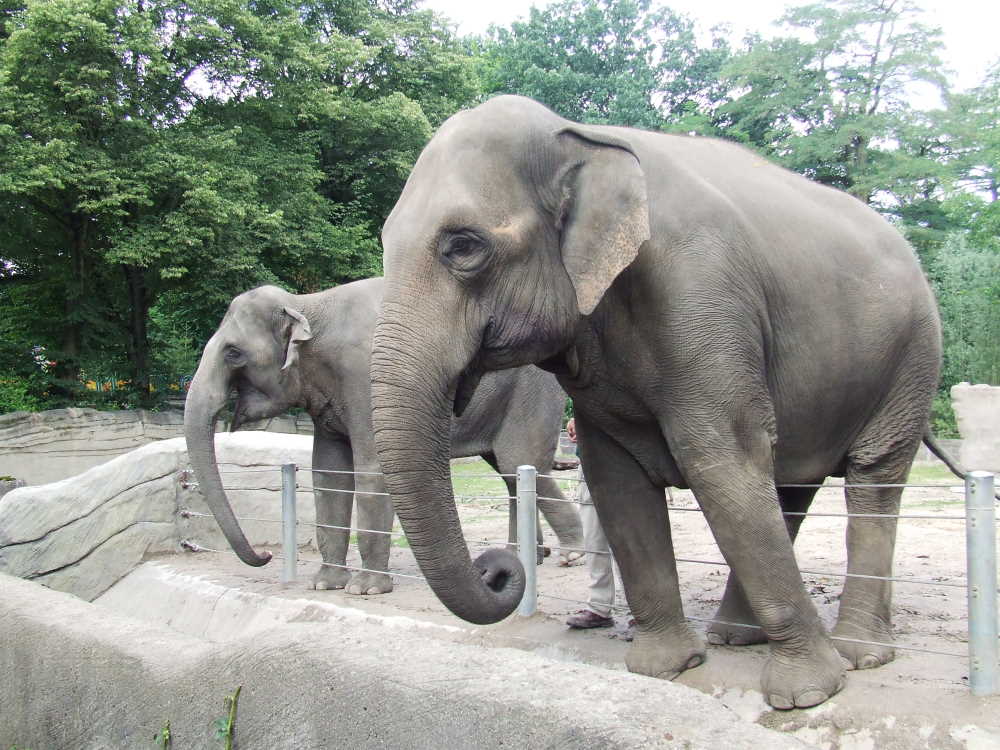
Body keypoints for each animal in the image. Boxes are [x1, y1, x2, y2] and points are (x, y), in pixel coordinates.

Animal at [186, 276, 584, 600]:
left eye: (233, 353)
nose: (266, 555)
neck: (307, 304)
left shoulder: (364, 377)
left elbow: (371, 471)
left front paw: (365, 590)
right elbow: (329, 476)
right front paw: (324, 584)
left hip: (530, 398)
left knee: (520, 464)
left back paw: (571, 554)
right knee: (511, 474)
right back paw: (525, 557)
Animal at [368, 95, 952, 712]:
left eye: (464, 246)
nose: (498, 568)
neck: (580, 136)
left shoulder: (700, 292)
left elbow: (720, 460)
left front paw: (807, 695)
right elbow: (617, 480)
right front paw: (665, 668)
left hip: (912, 359)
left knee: (871, 478)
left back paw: (859, 655)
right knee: (791, 485)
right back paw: (734, 637)